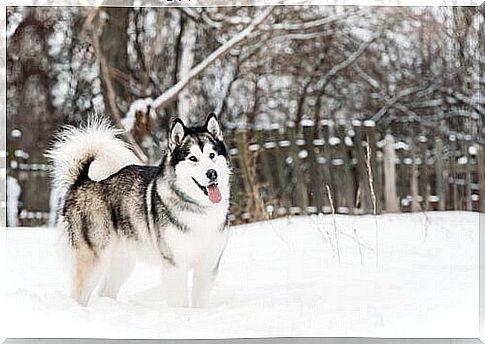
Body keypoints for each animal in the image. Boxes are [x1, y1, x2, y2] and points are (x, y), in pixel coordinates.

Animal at [46, 114, 232, 308]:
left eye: (212, 155)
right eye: (193, 158)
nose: (212, 173)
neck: (199, 209)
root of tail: (81, 180)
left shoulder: (208, 265)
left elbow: (199, 301)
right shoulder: (175, 265)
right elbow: (180, 301)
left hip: (122, 261)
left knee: (105, 291)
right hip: (93, 258)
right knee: (79, 295)